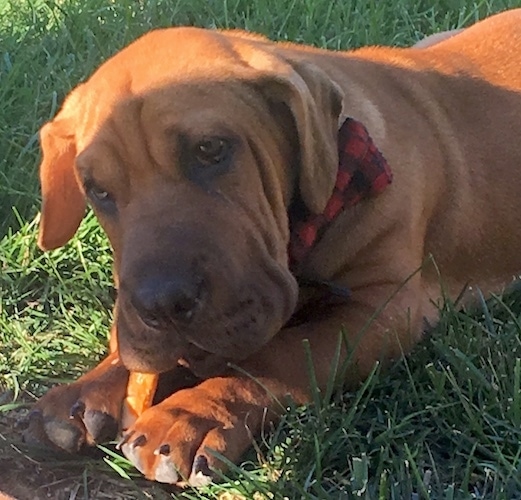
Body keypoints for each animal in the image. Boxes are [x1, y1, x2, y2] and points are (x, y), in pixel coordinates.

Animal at [21, 7, 521, 484]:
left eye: (211, 149)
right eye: (97, 190)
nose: (160, 304)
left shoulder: (382, 309)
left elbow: (280, 356)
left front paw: (191, 414)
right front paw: (88, 387)